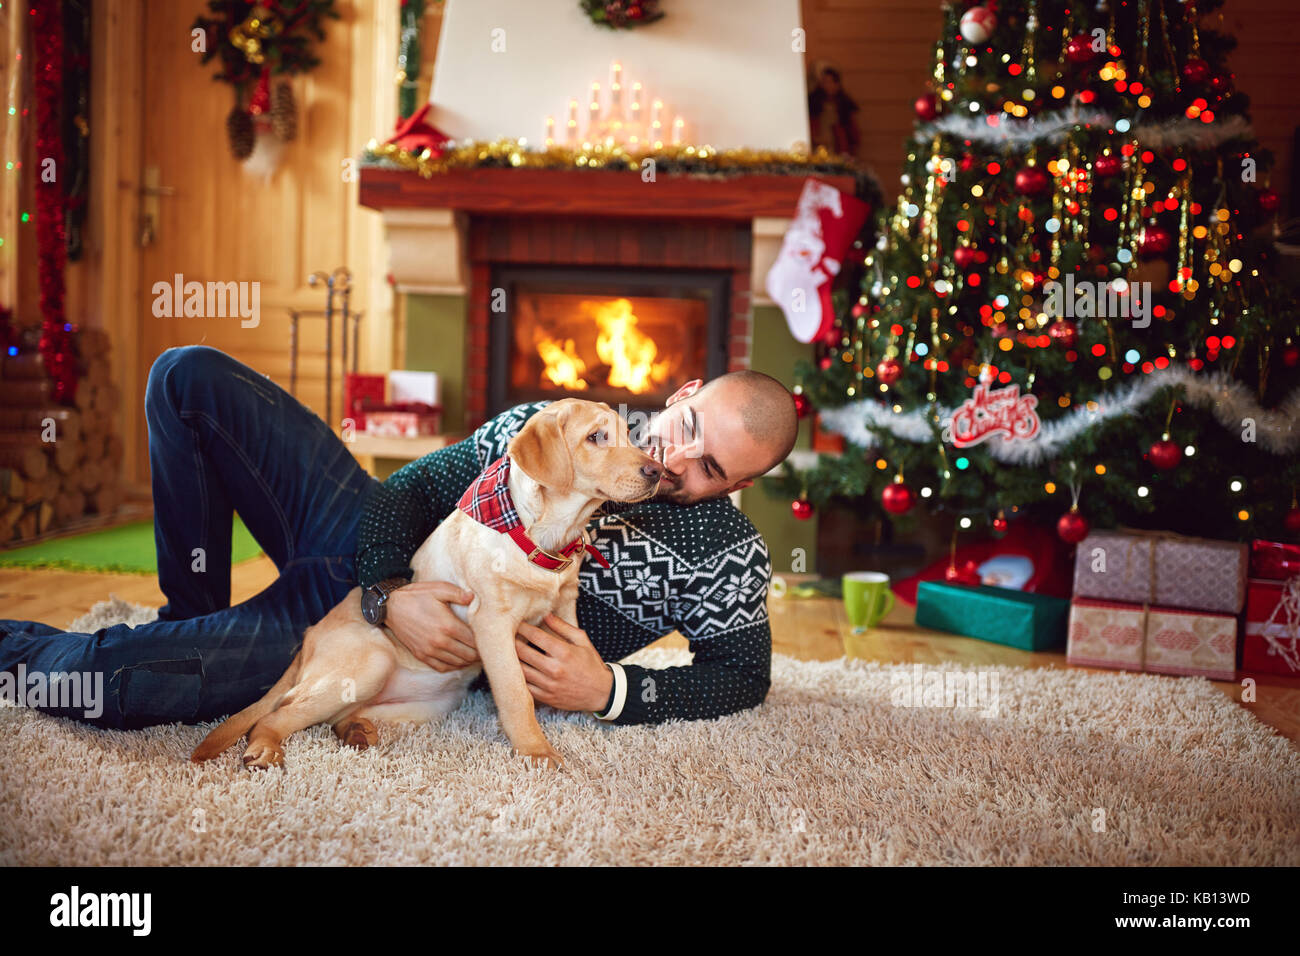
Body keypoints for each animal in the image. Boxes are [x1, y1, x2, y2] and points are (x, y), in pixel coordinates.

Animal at [189, 400, 660, 775]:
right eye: (596, 437)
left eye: (631, 435)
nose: (658, 470)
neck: (539, 535)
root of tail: (307, 640)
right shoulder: (492, 622)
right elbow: (516, 695)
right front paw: (536, 751)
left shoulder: (563, 609)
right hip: (369, 662)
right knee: (274, 716)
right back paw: (265, 750)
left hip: (424, 702)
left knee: (336, 715)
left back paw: (356, 731)